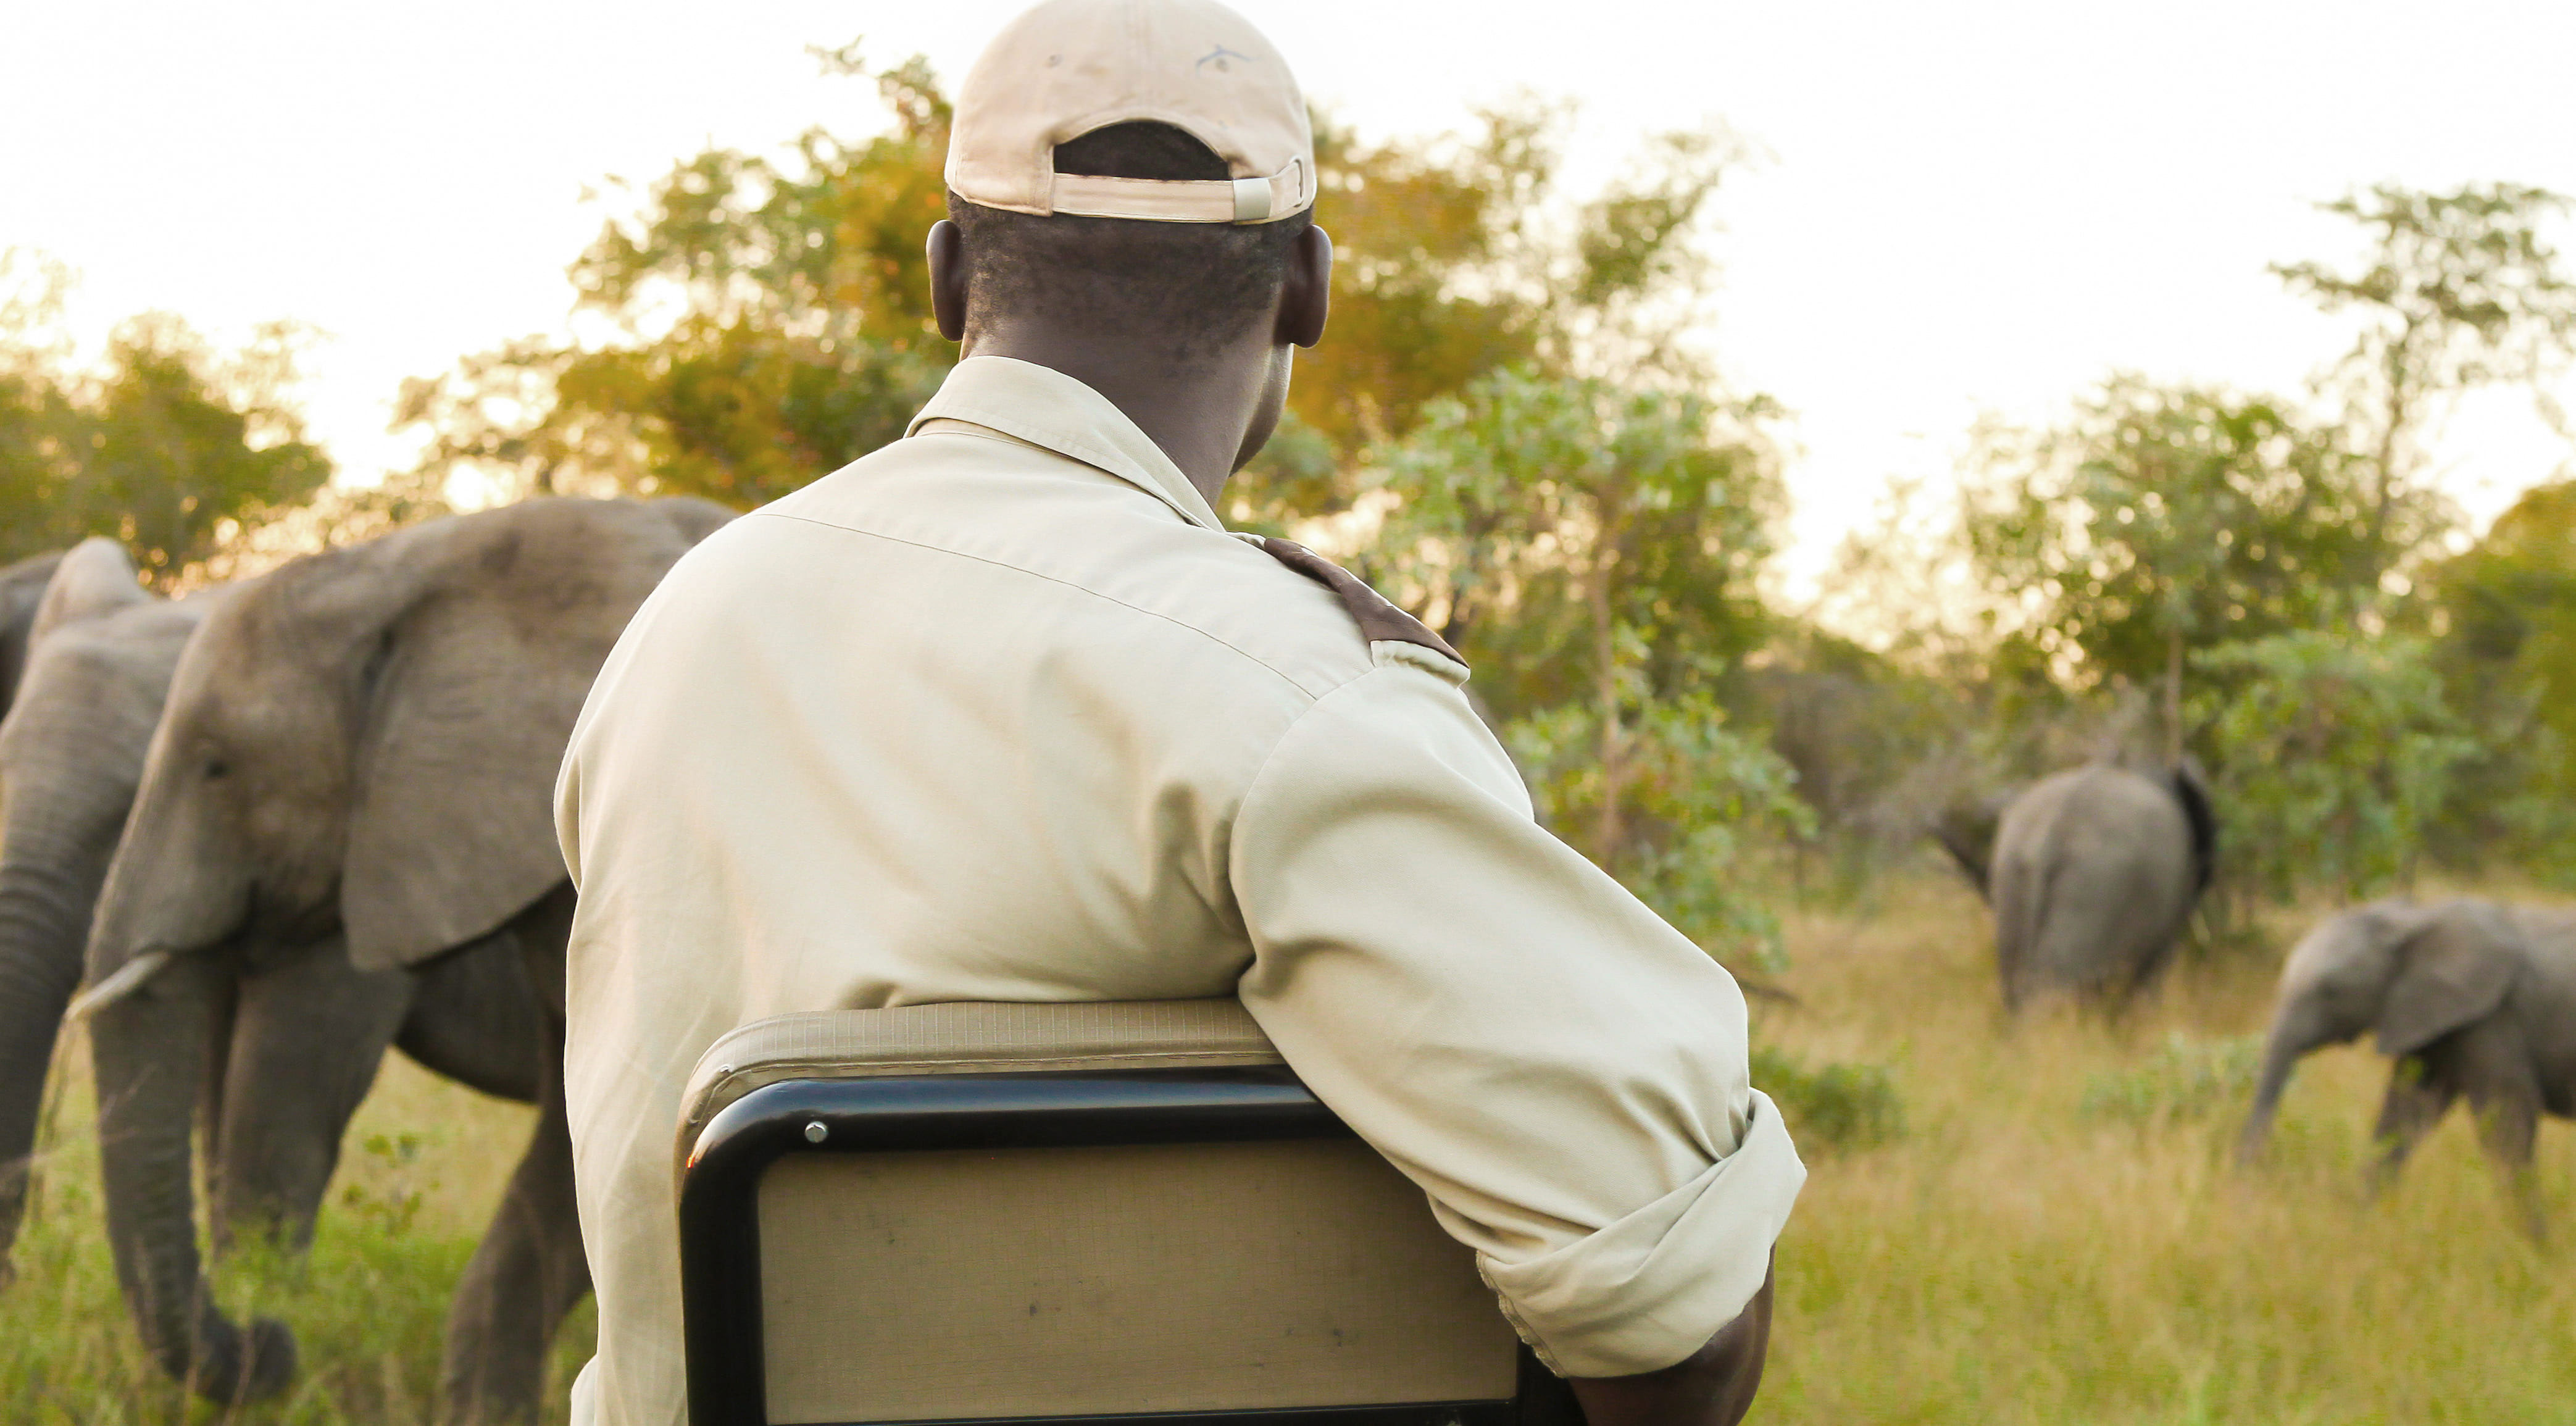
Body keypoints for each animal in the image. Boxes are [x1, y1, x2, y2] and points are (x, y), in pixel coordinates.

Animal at [2239, 898, 2576, 1235]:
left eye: (2330, 991)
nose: (2250, 1182)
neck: (2412, 919)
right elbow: (2406, 1109)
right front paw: (2363, 1224)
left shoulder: (2492, 1018)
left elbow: (2506, 1116)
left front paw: (2533, 1240)